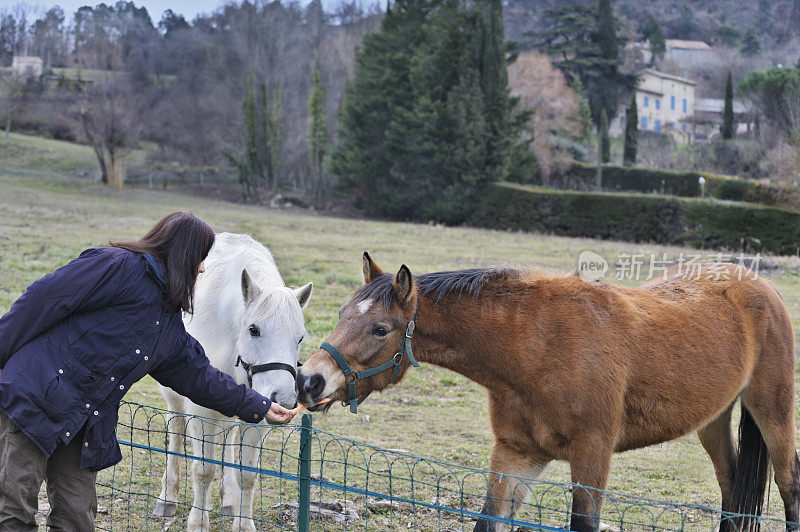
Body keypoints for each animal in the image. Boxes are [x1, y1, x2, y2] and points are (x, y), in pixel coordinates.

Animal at [154, 233, 312, 532]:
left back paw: (229, 500)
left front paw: (243, 522)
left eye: (300, 338)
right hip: (174, 397)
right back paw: (167, 499)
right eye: (254, 330)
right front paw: (198, 523)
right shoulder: (201, 410)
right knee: (176, 431)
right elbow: (203, 470)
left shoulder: (257, 411)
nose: (285, 400)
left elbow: (247, 475)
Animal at [296, 255, 800, 532]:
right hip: (712, 420)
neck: (537, 349)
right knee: (732, 488)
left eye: (380, 328)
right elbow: (489, 520)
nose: (309, 380)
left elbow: (583, 523)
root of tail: (760, 285)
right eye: (342, 313)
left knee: (789, 484)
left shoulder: (592, 453)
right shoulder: (517, 455)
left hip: (773, 411)